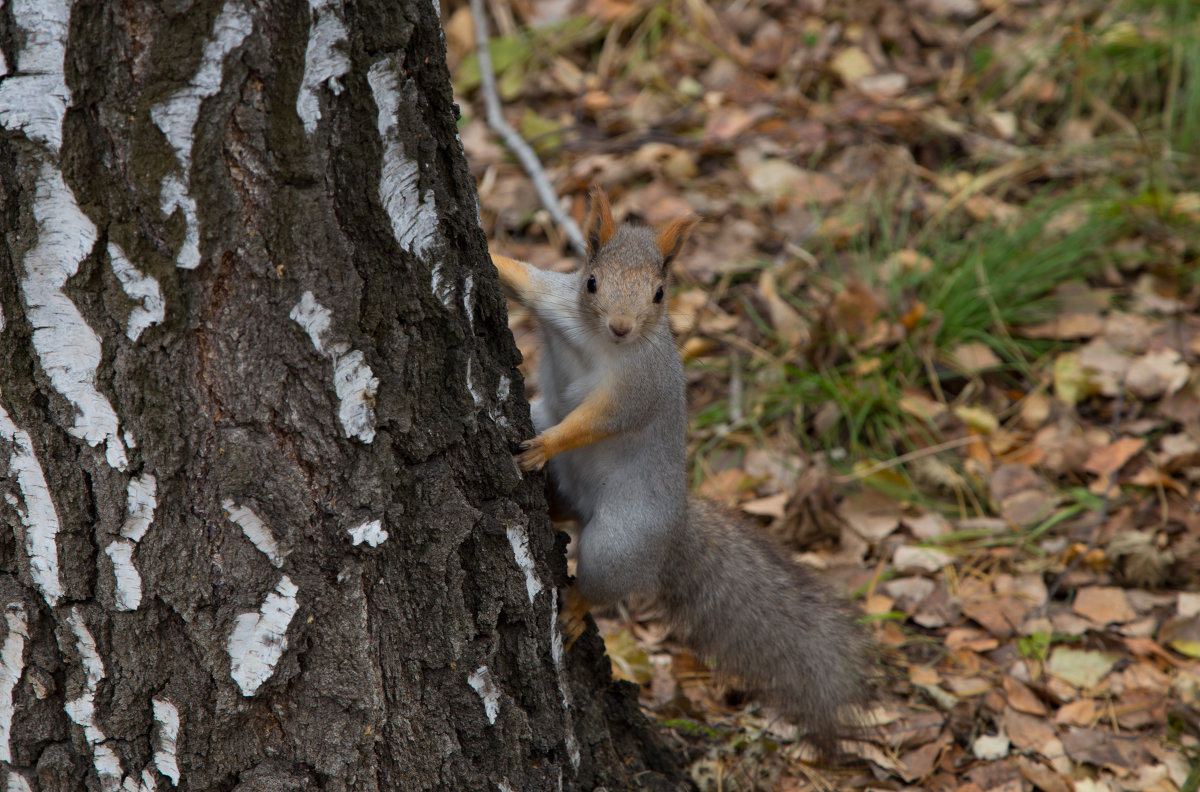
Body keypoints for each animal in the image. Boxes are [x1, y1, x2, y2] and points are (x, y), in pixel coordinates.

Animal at [487, 188, 873, 758]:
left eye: (659, 293)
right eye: (591, 281)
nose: (621, 327)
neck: (600, 342)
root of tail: (672, 531)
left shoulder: (639, 387)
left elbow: (597, 420)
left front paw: (549, 444)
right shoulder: (554, 301)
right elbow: (520, 276)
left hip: (623, 536)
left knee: (606, 578)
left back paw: (578, 603)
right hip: (547, 430)